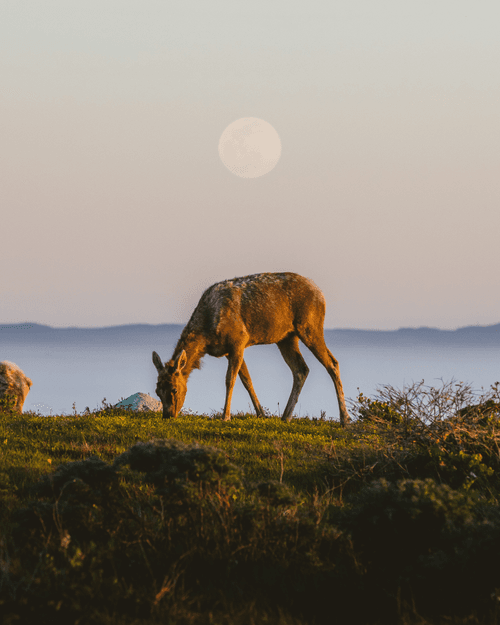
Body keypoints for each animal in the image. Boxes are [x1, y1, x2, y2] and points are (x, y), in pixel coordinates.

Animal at [152, 270, 352, 426]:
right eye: (157, 390)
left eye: (174, 389)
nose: (167, 416)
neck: (206, 337)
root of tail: (321, 294)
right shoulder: (229, 350)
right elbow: (247, 380)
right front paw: (261, 414)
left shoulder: (238, 340)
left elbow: (230, 380)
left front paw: (225, 417)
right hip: (287, 337)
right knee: (301, 369)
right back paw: (286, 416)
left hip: (310, 326)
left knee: (332, 363)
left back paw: (345, 419)